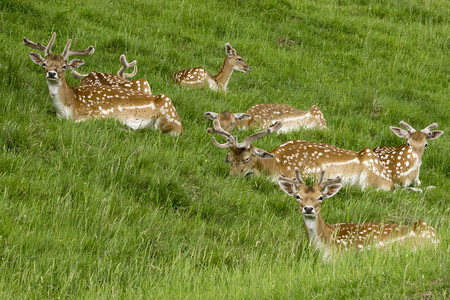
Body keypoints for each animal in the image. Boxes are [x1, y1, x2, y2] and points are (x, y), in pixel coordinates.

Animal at [23, 32, 183, 135]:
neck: (70, 105)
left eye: (64, 66)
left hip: (169, 118)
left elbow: (77, 122)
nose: (51, 73)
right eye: (44, 64)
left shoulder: (97, 114)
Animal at [207, 119, 394, 190]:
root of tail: (390, 182)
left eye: (246, 158)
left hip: (370, 180)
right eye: (230, 159)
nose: (231, 177)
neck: (275, 166)